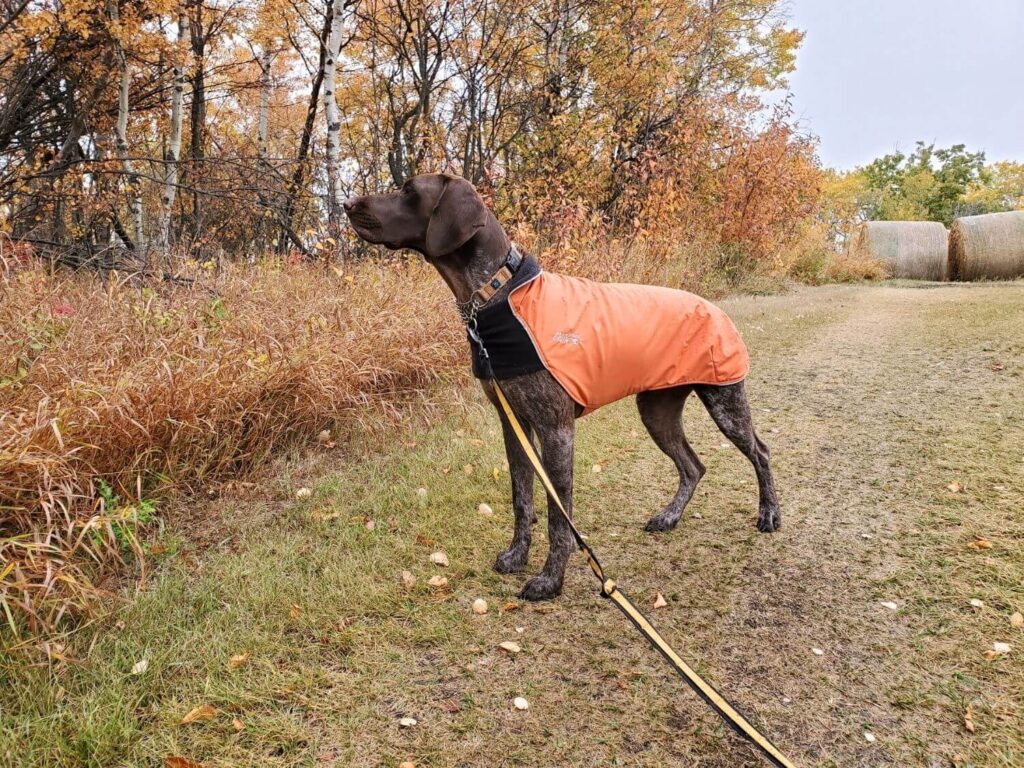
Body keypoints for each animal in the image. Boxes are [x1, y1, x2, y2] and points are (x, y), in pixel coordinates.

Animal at [339, 174, 778, 602]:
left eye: (409, 190)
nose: (347, 204)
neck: (495, 294)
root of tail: (716, 307)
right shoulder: (514, 424)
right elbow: (522, 498)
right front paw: (517, 556)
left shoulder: (556, 429)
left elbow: (557, 514)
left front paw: (550, 580)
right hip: (657, 410)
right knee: (692, 466)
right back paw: (669, 516)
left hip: (724, 399)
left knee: (760, 451)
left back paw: (769, 513)